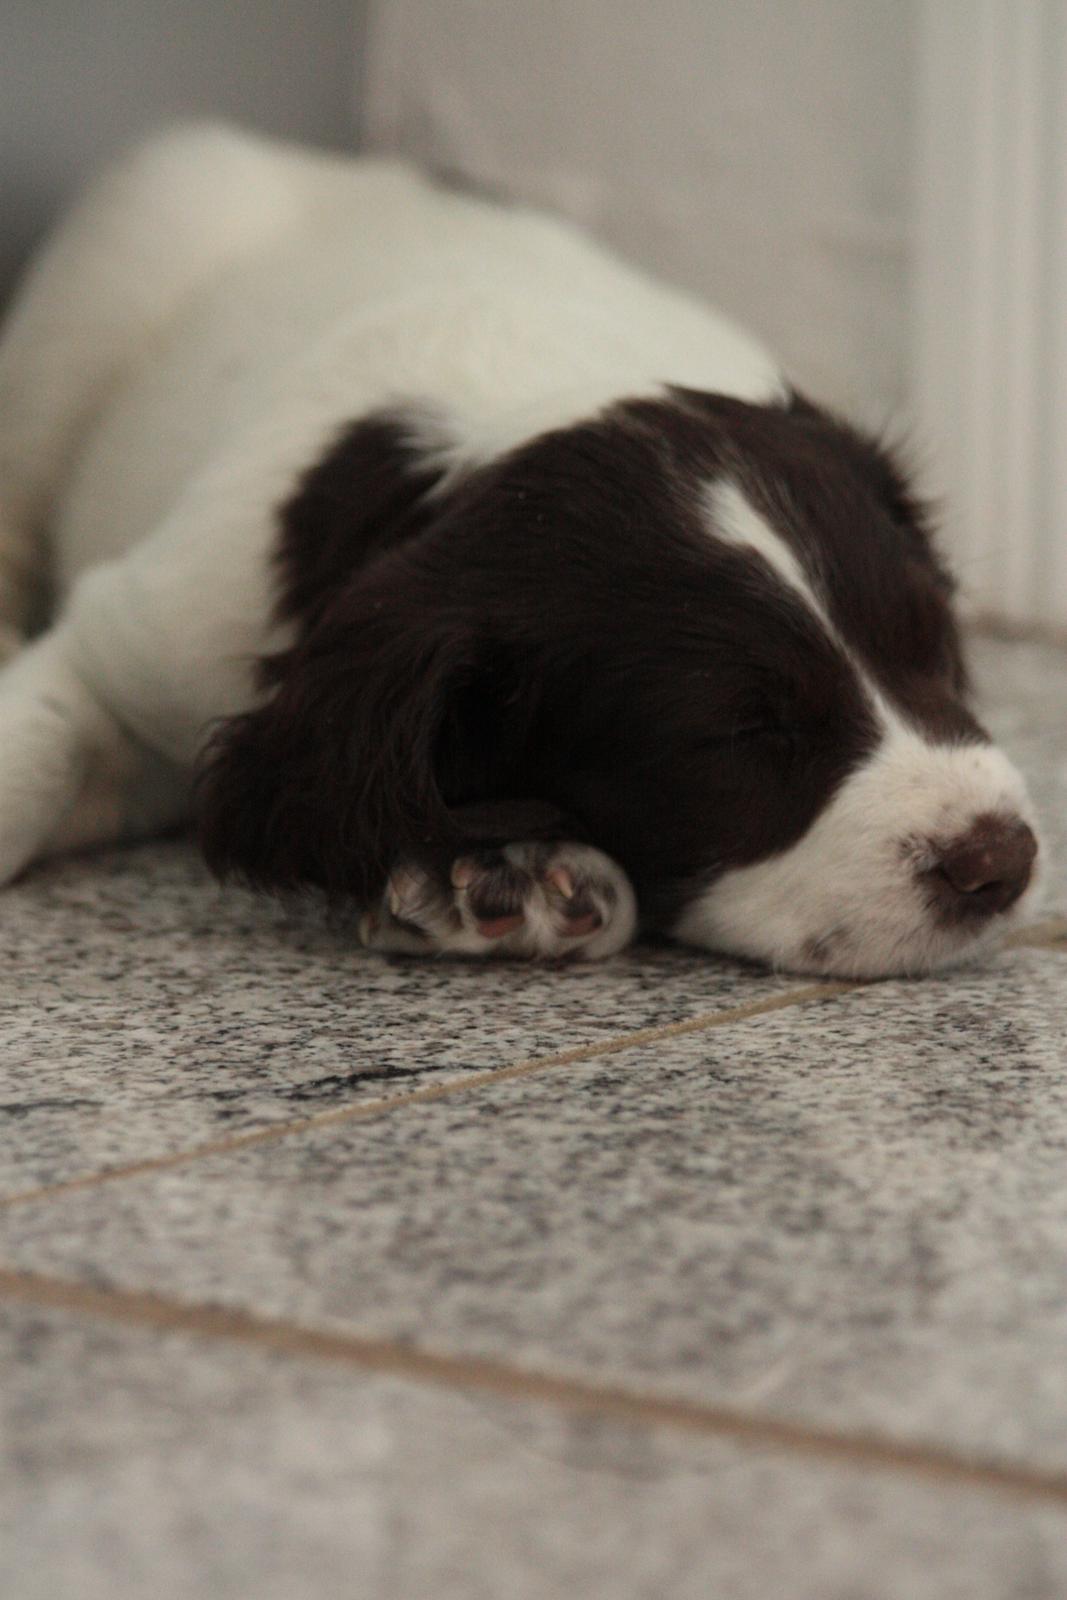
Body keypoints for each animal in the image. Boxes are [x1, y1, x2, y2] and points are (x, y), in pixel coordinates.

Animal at [0, 121, 1043, 972]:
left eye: (932, 646)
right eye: (738, 733)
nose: (1002, 863)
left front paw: (508, 874)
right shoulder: (150, 631)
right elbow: (38, 745)